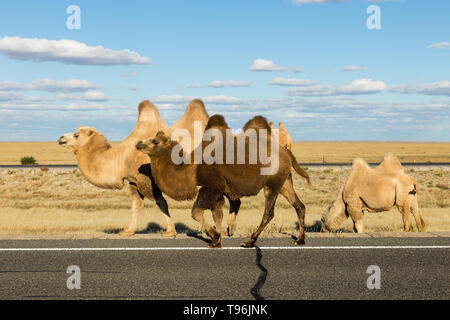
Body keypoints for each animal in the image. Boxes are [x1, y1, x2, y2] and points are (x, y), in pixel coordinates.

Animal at [58, 99, 213, 236]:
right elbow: (136, 206)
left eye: (76, 135)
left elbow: (161, 203)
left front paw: (170, 231)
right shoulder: (133, 181)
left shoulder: (147, 179)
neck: (122, 158)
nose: (60, 138)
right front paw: (128, 231)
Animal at [136, 114, 310, 248]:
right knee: (299, 205)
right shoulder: (220, 189)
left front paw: (214, 238)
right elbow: (218, 213)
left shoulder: (211, 186)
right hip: (285, 182)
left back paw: (250, 242)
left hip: (272, 183)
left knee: (269, 212)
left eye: (155, 141)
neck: (192, 167)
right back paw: (300, 240)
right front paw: (219, 238)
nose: (138, 143)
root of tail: (287, 152)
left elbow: (196, 212)